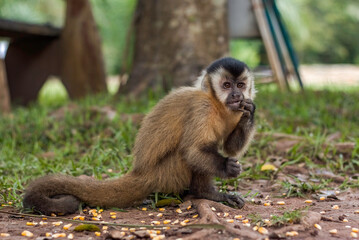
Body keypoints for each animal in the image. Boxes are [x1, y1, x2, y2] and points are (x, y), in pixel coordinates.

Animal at [22, 57, 258, 215]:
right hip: (166, 175)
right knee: (187, 152)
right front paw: (227, 166)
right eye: (226, 85)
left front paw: (249, 113)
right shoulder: (202, 108)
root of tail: (141, 173)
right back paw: (204, 193)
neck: (217, 104)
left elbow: (230, 147)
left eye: (240, 85)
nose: (236, 95)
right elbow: (193, 151)